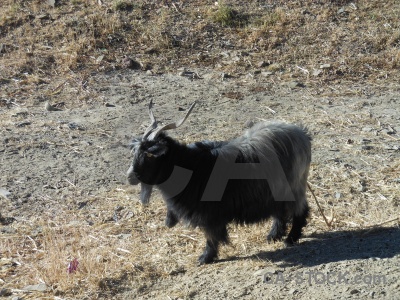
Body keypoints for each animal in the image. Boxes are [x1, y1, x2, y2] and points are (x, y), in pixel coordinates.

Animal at [128, 101, 312, 264]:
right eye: (135, 152)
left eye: (149, 154)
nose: (130, 176)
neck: (191, 166)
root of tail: (302, 134)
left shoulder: (210, 215)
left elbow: (212, 236)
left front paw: (205, 258)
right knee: (280, 211)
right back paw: (273, 235)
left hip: (293, 186)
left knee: (300, 210)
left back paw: (290, 239)